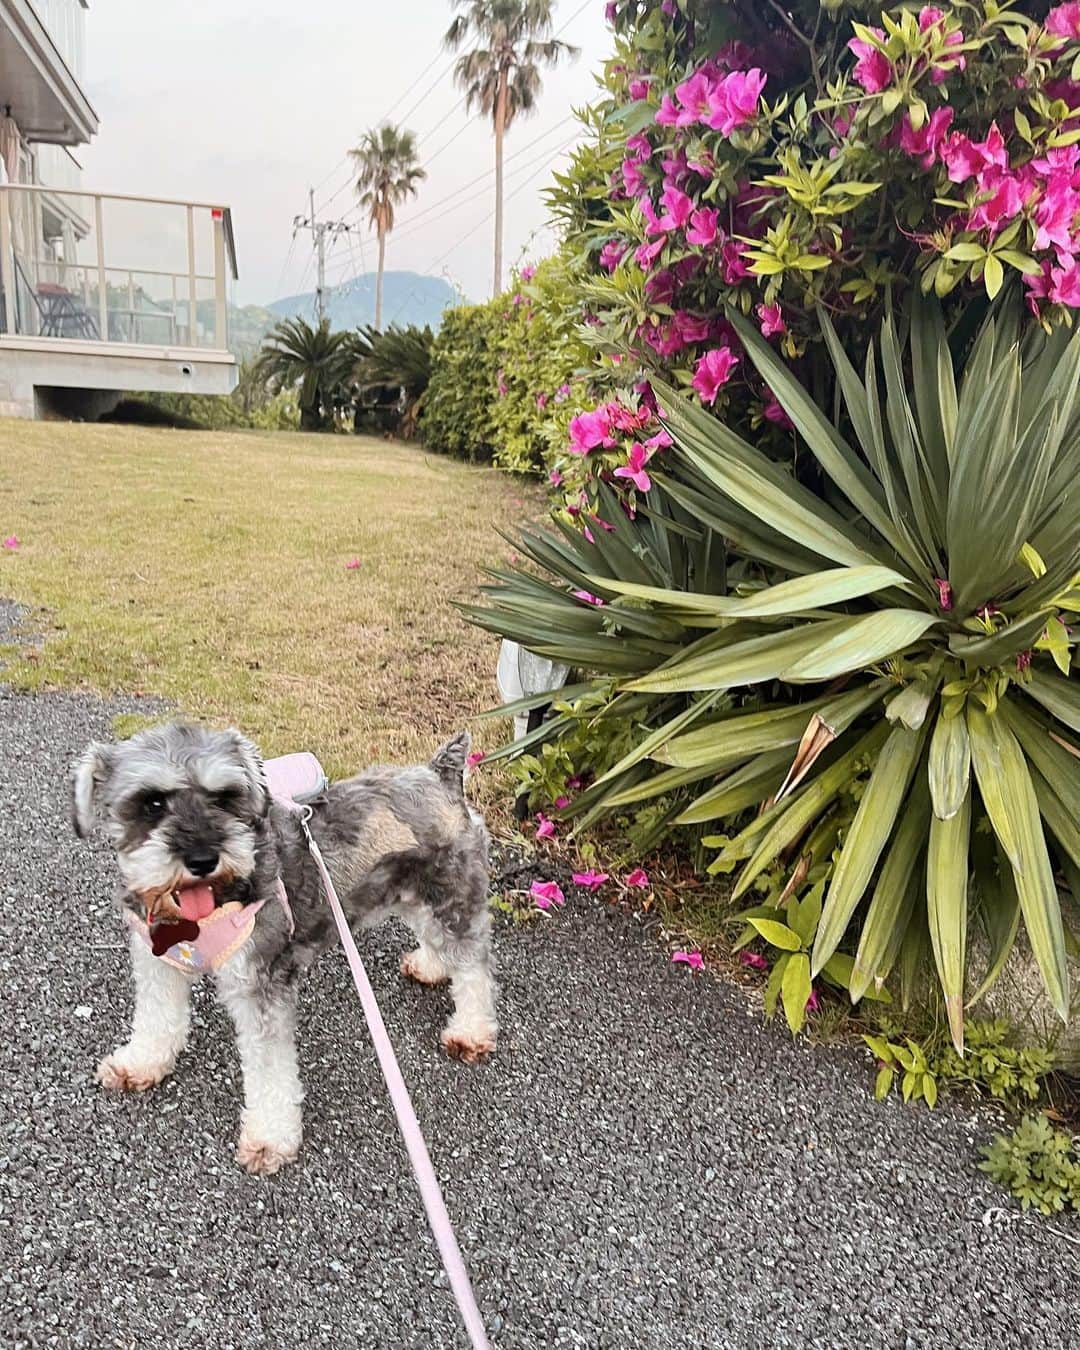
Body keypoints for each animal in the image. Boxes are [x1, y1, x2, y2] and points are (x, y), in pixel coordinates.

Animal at [72, 723, 496, 1177]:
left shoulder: (261, 986)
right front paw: (140, 1063)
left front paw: (269, 1137)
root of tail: (440, 775)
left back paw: (471, 1031)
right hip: (410, 893)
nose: (203, 859)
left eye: (224, 798)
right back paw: (430, 966)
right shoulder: (158, 963)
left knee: (473, 967)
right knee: (436, 939)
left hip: (452, 898)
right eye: (151, 803)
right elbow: (157, 1019)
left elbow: (270, 1069)